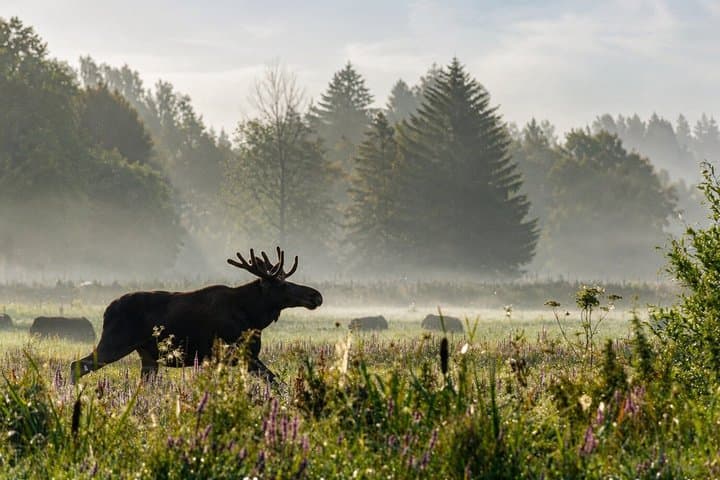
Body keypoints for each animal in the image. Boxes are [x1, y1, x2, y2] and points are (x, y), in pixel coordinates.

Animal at [70, 247, 322, 384]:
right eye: (282, 284)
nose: (316, 295)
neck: (254, 317)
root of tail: (106, 311)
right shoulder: (239, 353)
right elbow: (275, 382)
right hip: (116, 342)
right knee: (77, 365)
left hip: (147, 356)